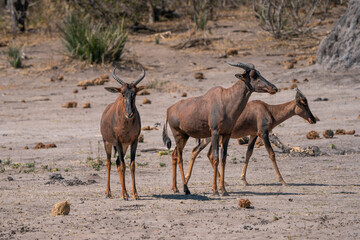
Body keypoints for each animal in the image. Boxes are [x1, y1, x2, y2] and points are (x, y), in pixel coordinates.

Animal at [100, 65, 145, 201]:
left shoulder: (134, 141)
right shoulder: (117, 141)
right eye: (122, 93)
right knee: (109, 163)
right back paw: (108, 192)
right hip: (108, 143)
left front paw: (135, 194)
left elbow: (132, 165)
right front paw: (124, 195)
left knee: (117, 162)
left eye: (134, 93)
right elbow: (123, 166)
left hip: (124, 146)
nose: (129, 114)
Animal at [162, 62, 278, 196]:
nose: (274, 88)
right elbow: (215, 157)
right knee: (180, 157)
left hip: (184, 136)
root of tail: (168, 110)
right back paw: (186, 189)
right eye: (253, 75)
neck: (225, 100)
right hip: (178, 134)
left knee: (174, 154)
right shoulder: (215, 132)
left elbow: (223, 159)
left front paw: (223, 190)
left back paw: (175, 188)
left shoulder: (226, 134)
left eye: (259, 72)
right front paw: (215, 190)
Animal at [184, 89, 316, 187]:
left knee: (199, 152)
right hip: (211, 137)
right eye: (303, 104)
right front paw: (283, 181)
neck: (267, 109)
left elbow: (249, 153)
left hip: (209, 138)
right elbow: (272, 154)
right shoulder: (263, 134)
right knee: (205, 153)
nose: (313, 119)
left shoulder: (253, 135)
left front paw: (244, 180)